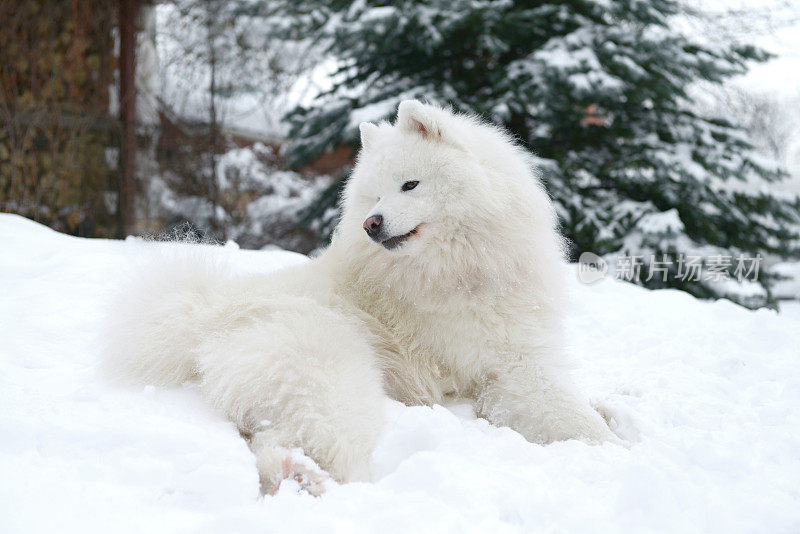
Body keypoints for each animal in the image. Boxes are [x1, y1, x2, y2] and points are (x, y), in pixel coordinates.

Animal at [104, 101, 620, 498]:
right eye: (374, 196)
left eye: (410, 184)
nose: (372, 223)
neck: (460, 267)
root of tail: (205, 316)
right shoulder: (506, 367)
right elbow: (575, 418)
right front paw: (618, 450)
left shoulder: (515, 364)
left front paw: (610, 418)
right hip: (335, 378)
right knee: (326, 445)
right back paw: (322, 485)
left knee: (269, 439)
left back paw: (296, 479)